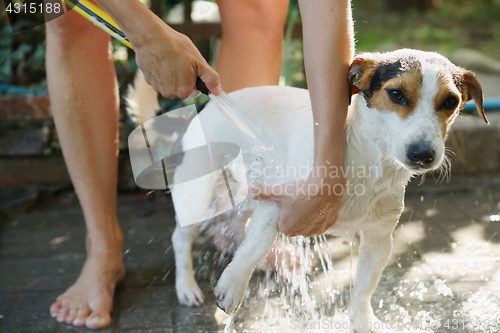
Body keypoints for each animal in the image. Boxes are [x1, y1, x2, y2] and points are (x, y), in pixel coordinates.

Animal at [127, 49, 486, 332]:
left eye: (451, 102)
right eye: (396, 94)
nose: (423, 154)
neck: (367, 161)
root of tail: (207, 107)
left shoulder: (379, 239)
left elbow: (363, 290)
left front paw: (363, 322)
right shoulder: (278, 202)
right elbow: (256, 245)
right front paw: (233, 284)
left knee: (235, 227)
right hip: (200, 193)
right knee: (181, 237)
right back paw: (187, 286)